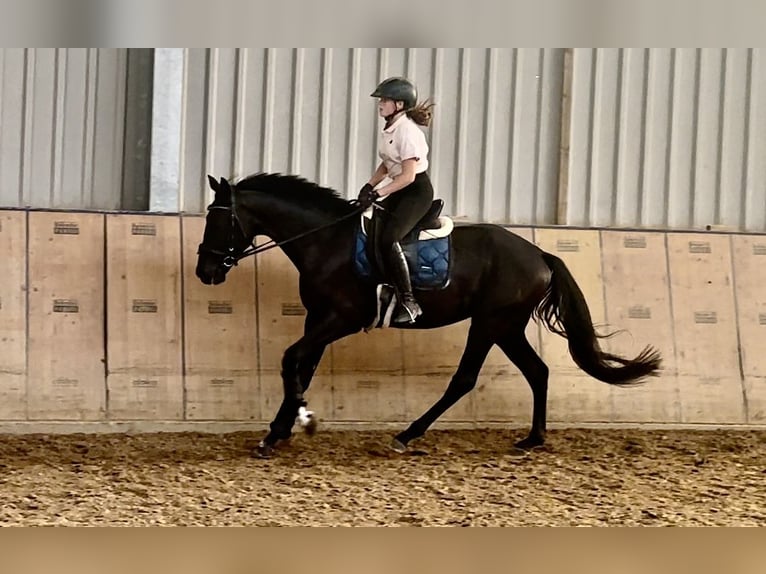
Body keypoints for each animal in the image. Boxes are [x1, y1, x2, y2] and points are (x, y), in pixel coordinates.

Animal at [195, 173, 664, 456]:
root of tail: (540, 255)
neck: (325, 241)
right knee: (537, 371)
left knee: (466, 378)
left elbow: (290, 358)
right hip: (506, 326)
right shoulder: (317, 320)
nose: (205, 272)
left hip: (491, 323)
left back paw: (408, 434)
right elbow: (302, 367)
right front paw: (280, 429)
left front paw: (291, 425)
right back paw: (532, 439)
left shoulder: (340, 320)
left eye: (219, 222)